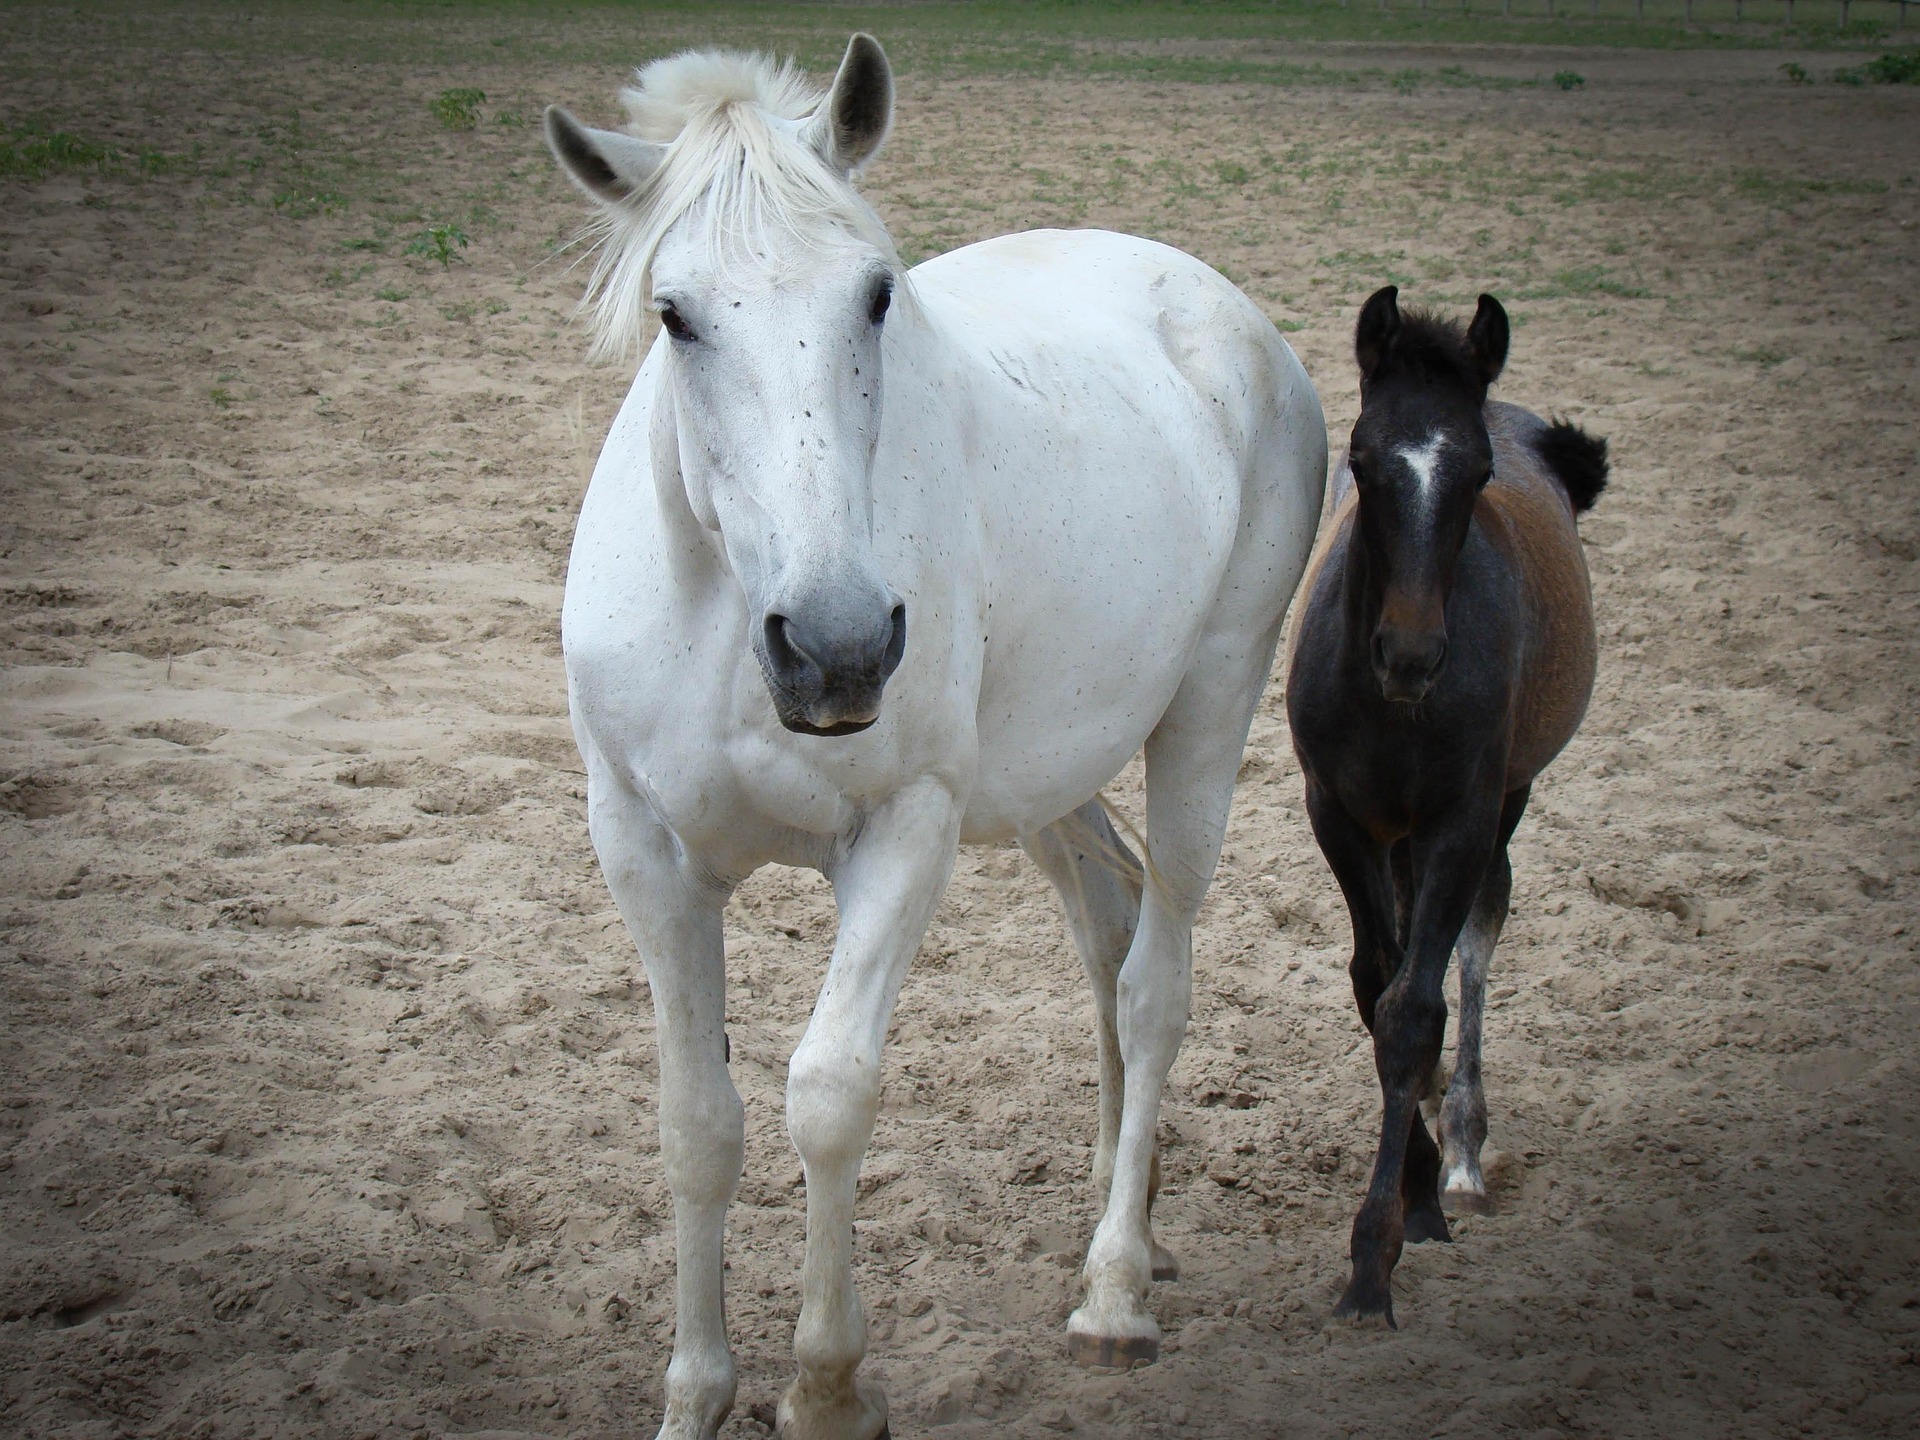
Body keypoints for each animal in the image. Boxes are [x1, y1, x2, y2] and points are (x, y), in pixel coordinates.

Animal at [542, 35, 1327, 1440]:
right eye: (675, 314)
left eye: (876, 295)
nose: (839, 646)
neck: (729, 615)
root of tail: (1228, 317)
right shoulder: (641, 847)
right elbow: (697, 1124)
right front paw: (695, 1393)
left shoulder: (906, 830)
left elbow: (827, 1097)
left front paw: (827, 1387)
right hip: (1049, 775)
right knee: (1109, 929)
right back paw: (1128, 1219)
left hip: (1205, 716)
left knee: (1156, 979)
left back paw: (1116, 1288)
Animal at [1284, 285, 1607, 1328]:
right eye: (1360, 459)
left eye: (1476, 473)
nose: (1412, 655)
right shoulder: (1337, 815)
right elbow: (1371, 984)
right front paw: (1411, 1188)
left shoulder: (1462, 819)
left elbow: (1416, 1009)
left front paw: (1378, 1255)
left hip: (1505, 801)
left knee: (1477, 936)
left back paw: (1462, 1147)